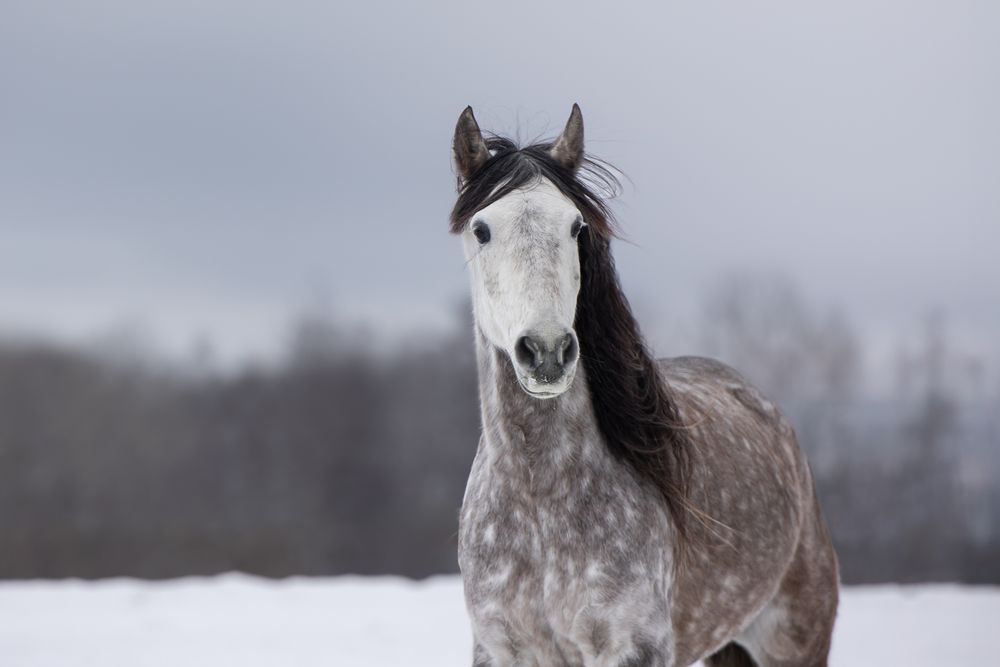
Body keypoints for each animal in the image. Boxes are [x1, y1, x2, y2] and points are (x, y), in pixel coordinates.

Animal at [451, 104, 839, 667]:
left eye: (576, 226)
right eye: (481, 229)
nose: (546, 352)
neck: (539, 503)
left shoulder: (634, 648)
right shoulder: (501, 649)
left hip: (797, 640)